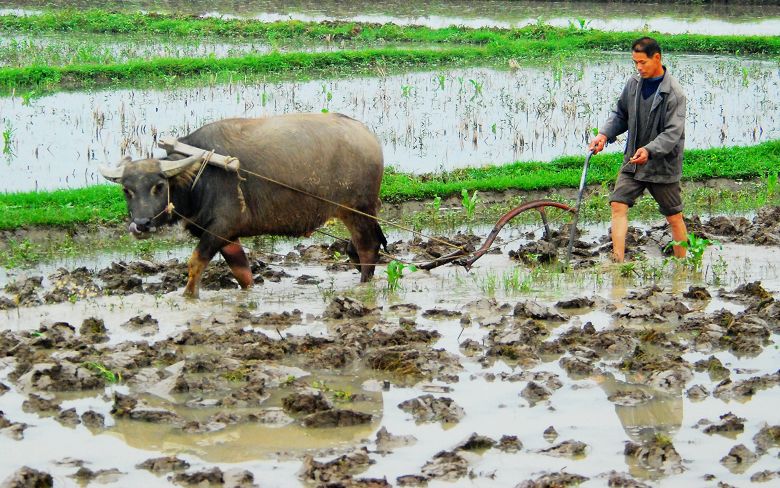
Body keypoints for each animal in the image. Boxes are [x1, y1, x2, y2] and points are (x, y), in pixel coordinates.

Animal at [100, 114, 386, 298]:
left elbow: (195, 265)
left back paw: (364, 287)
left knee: (367, 249)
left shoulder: (218, 230)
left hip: (357, 210)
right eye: (127, 190)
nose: (141, 225)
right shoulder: (228, 236)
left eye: (158, 186)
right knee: (358, 250)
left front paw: (188, 297)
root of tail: (368, 136)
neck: (199, 178)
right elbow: (242, 273)